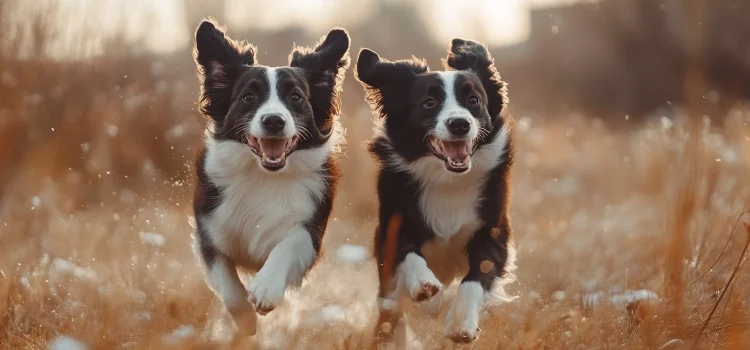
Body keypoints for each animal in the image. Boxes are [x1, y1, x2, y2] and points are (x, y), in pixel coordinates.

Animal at [191, 19, 350, 336]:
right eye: (248, 97)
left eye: (296, 97)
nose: (274, 121)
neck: (263, 176)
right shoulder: (209, 230)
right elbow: (227, 283)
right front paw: (245, 319)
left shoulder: (311, 230)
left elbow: (288, 244)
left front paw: (266, 288)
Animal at [356, 39, 520, 344]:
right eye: (429, 103)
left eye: (474, 100)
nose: (459, 124)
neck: (448, 180)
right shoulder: (391, 224)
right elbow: (407, 252)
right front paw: (424, 285)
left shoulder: (493, 230)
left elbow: (478, 275)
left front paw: (461, 324)